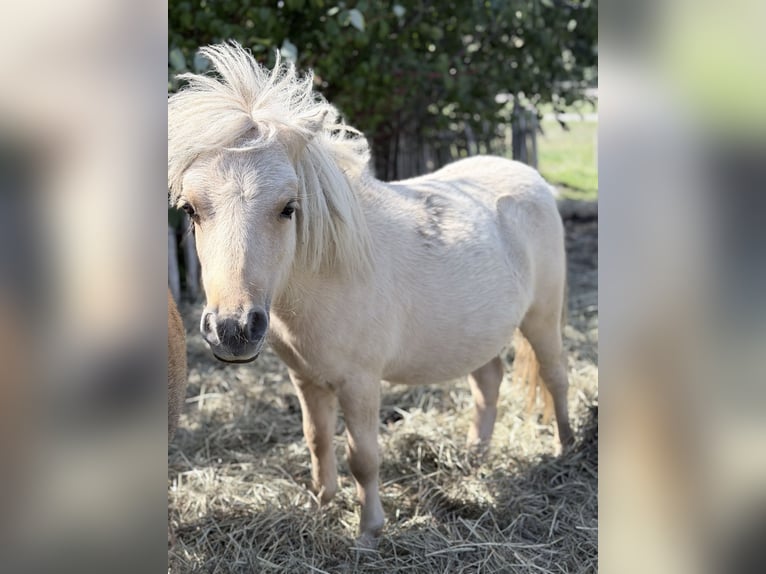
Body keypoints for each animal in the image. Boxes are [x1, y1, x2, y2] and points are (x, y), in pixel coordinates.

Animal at [168, 43, 572, 542]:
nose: (233, 329)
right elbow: (318, 441)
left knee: (555, 377)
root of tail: (530, 178)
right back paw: (475, 456)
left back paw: (566, 449)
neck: (330, 274)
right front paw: (323, 503)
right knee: (488, 382)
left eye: (289, 208)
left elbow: (362, 457)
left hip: (542, 319)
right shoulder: (306, 379)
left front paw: (369, 532)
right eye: (191, 210)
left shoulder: (359, 383)